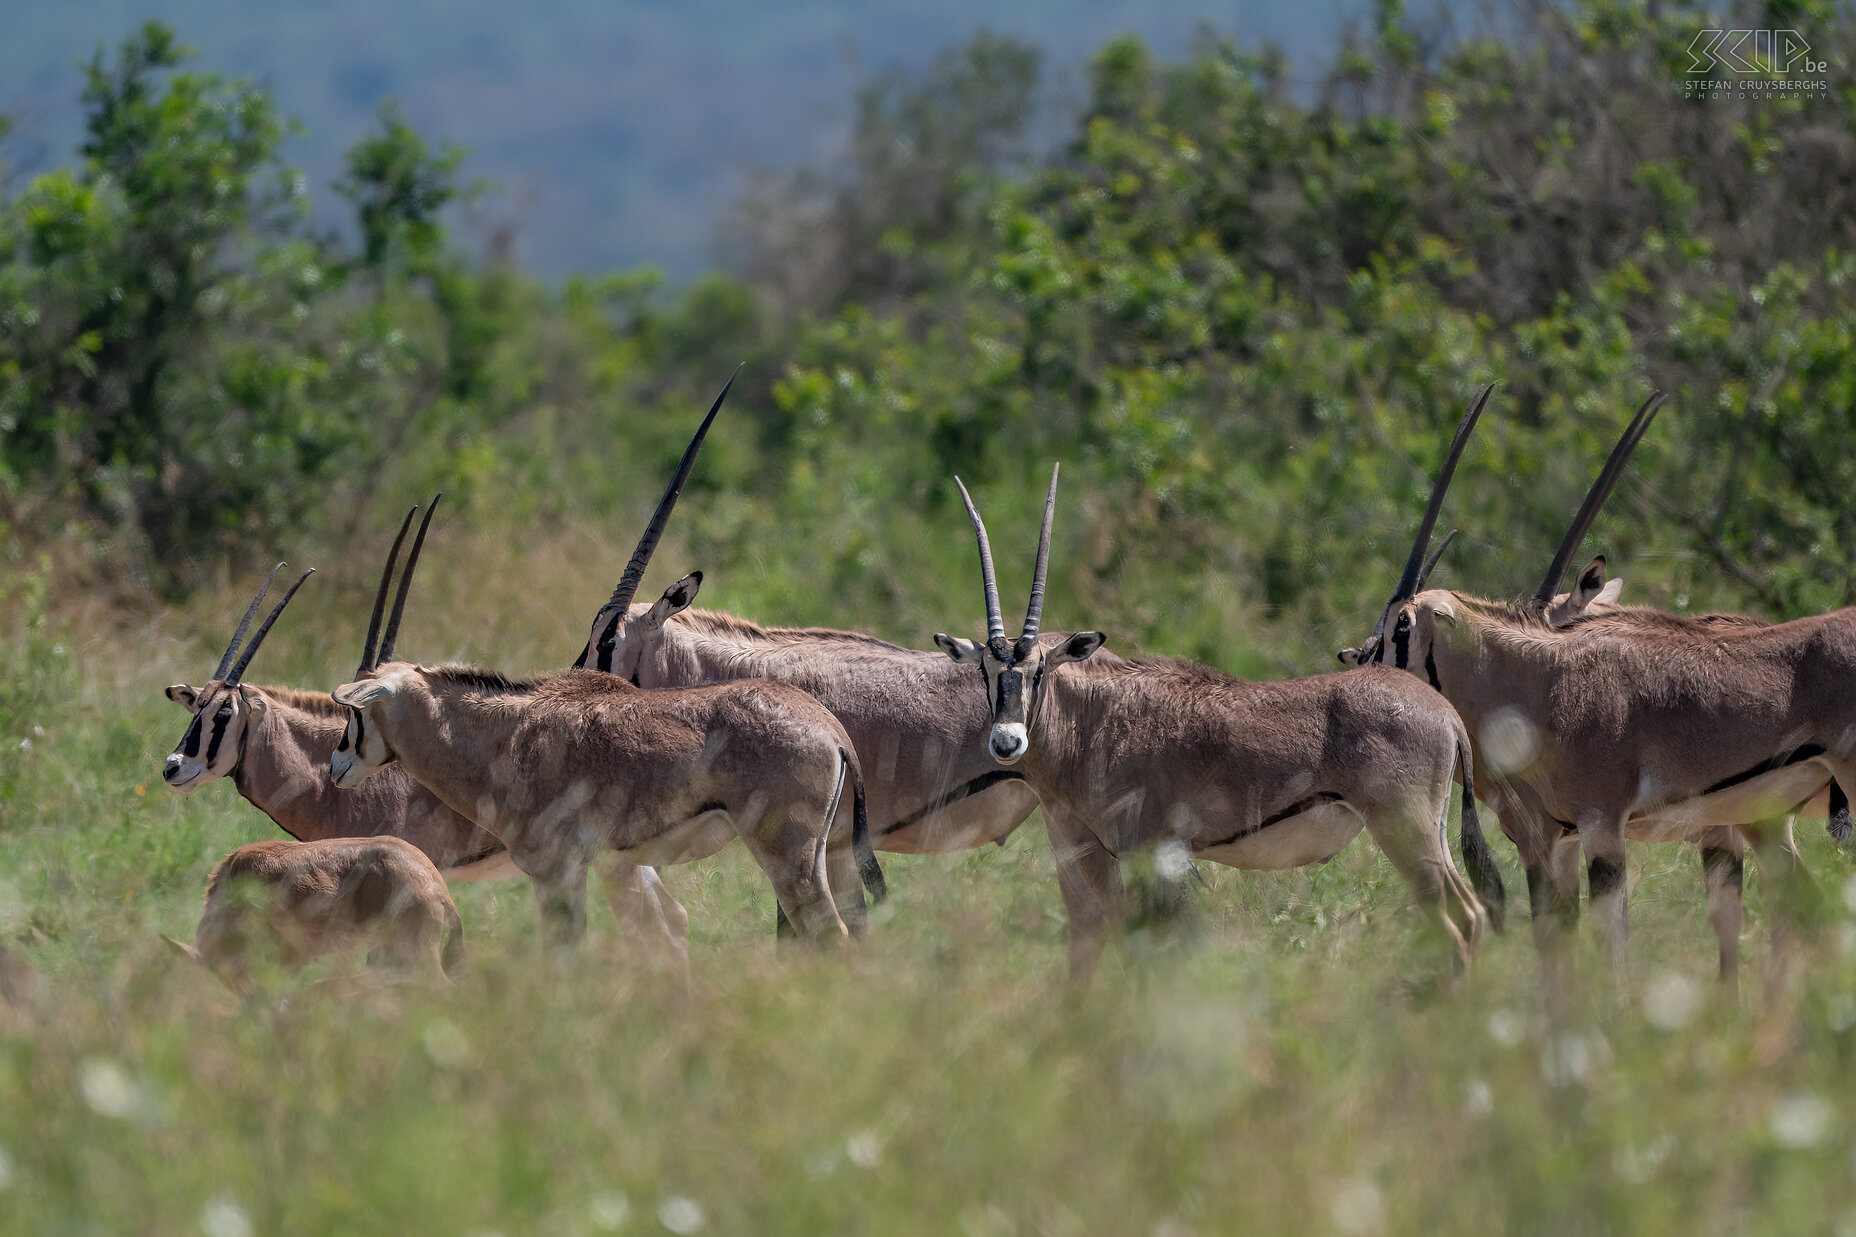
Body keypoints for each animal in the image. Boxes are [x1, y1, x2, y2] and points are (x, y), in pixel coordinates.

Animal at [935, 462, 1499, 973]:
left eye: (1038, 669)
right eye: (986, 669)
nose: (1007, 742)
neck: (1094, 720)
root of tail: (1445, 714)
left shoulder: (1153, 855)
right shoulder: (1095, 854)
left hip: (1406, 832)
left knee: (1455, 922)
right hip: (1428, 833)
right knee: (1471, 915)